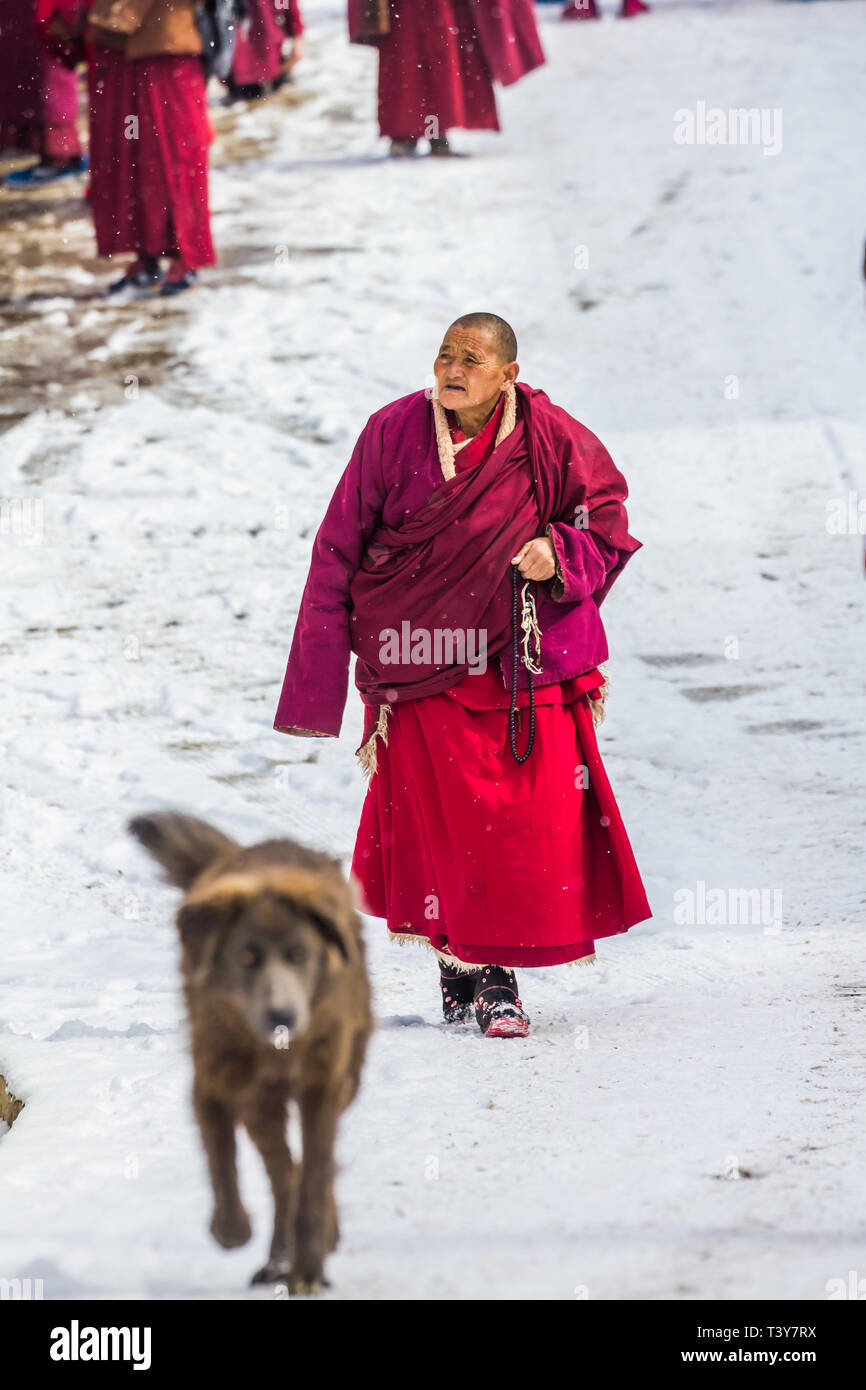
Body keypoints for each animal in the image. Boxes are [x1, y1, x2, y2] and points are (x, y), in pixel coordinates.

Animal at [129, 811, 372, 1295]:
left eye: (299, 954)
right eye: (245, 957)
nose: (282, 1015)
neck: (276, 1052)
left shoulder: (322, 1088)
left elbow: (315, 1178)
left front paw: (309, 1268)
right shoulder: (212, 1085)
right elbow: (223, 1167)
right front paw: (233, 1229)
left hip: (339, 1080)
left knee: (304, 1173)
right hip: (261, 1109)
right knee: (281, 1174)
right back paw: (278, 1258)